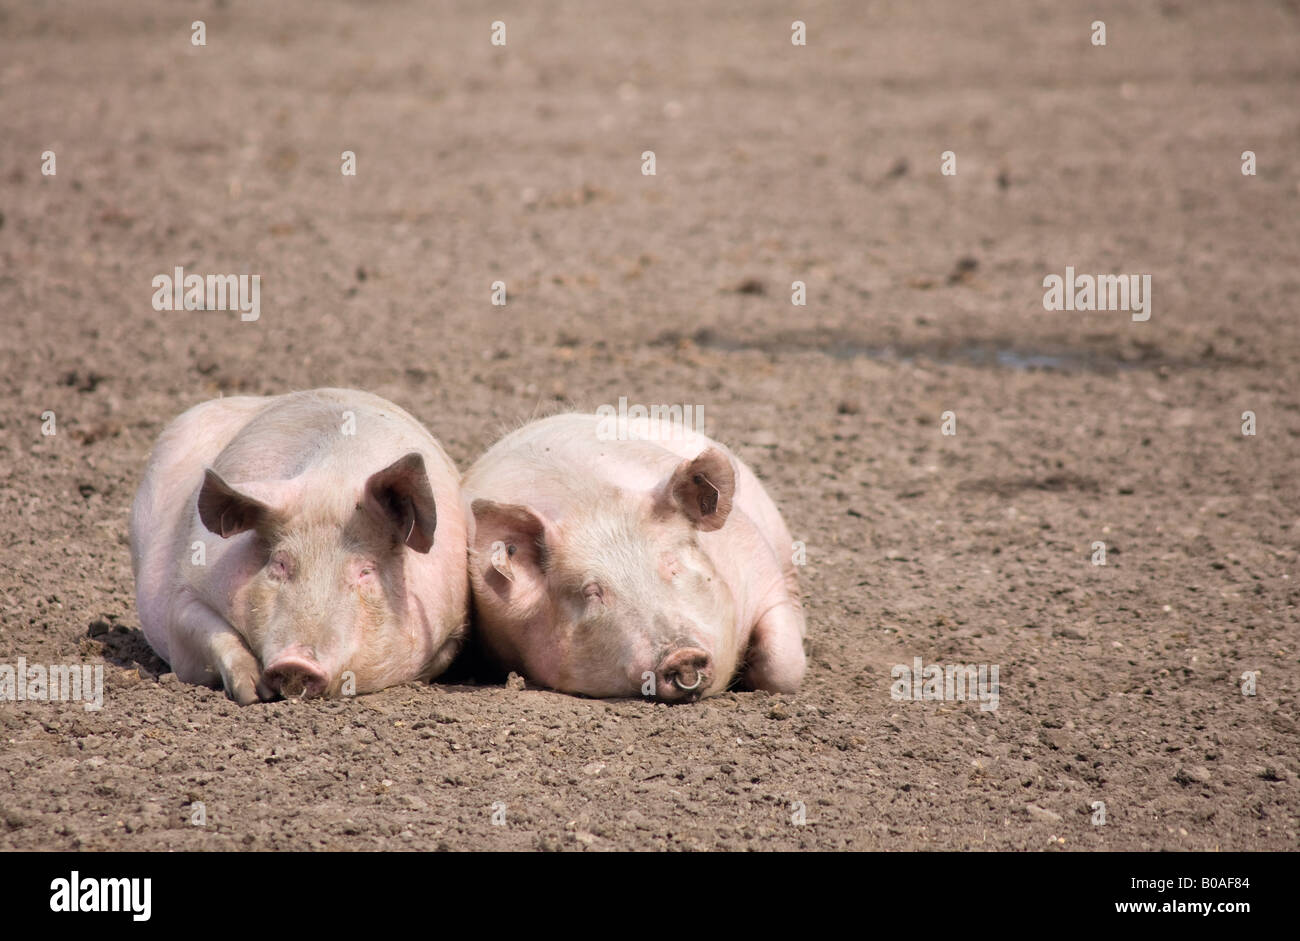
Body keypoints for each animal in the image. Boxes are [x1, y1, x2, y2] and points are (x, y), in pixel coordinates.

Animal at [126, 384, 470, 701]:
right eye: (279, 563)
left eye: (365, 571)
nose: (295, 662)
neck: (335, 477)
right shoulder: (186, 590)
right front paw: (252, 693)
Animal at [462, 410, 806, 696]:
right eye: (592, 592)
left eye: (672, 565)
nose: (682, 656)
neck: (590, 504)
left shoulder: (761, 570)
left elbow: (784, 669)